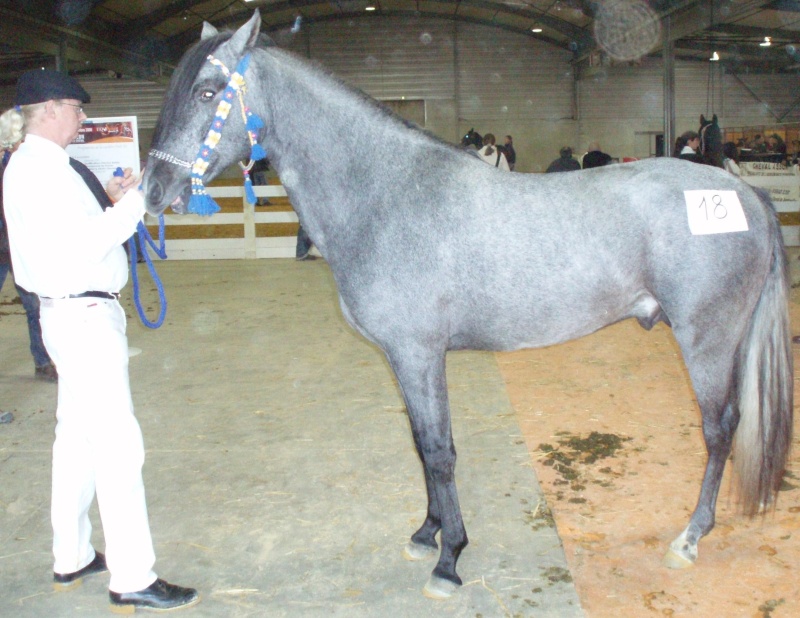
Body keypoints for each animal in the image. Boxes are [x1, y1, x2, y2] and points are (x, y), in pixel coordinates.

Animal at [144, 9, 792, 596]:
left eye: (207, 91)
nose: (151, 190)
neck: (386, 193)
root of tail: (746, 193)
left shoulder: (420, 354)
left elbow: (439, 451)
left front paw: (449, 559)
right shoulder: (403, 359)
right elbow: (420, 443)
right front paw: (426, 534)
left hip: (707, 341)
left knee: (718, 429)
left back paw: (690, 538)